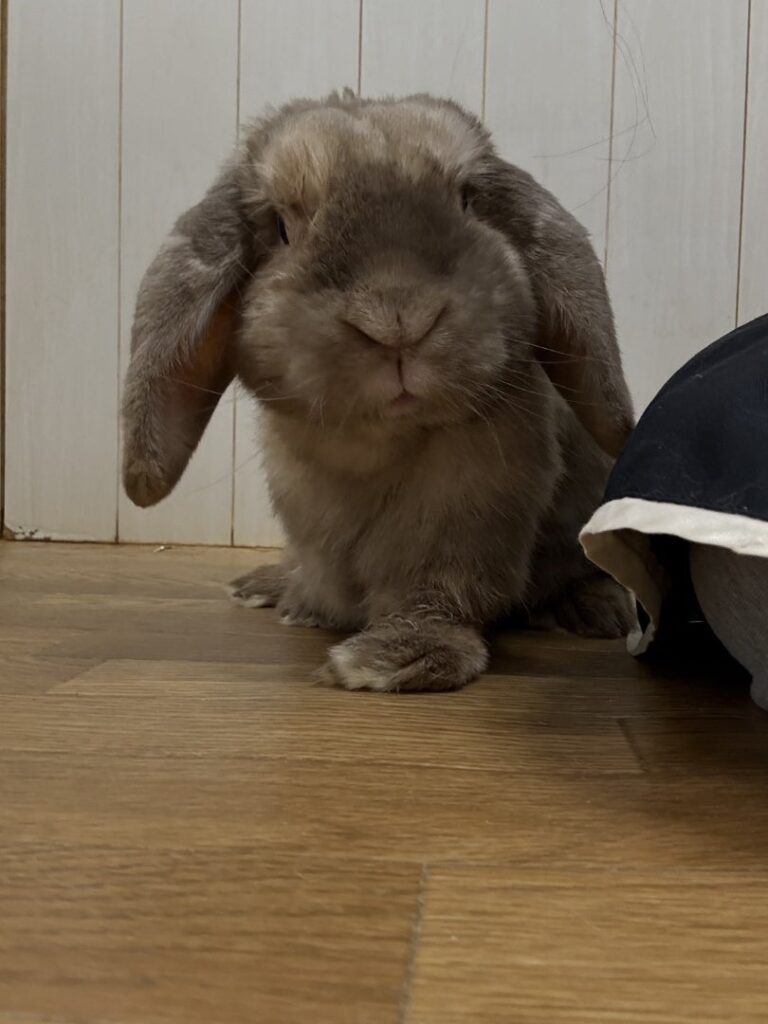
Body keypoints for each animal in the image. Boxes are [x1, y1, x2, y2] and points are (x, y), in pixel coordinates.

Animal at [122, 91, 636, 692]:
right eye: (281, 228)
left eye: (467, 201)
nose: (399, 320)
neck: (374, 447)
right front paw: (312, 608)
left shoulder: (468, 523)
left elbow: (443, 596)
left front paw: (391, 659)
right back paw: (273, 588)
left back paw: (599, 611)